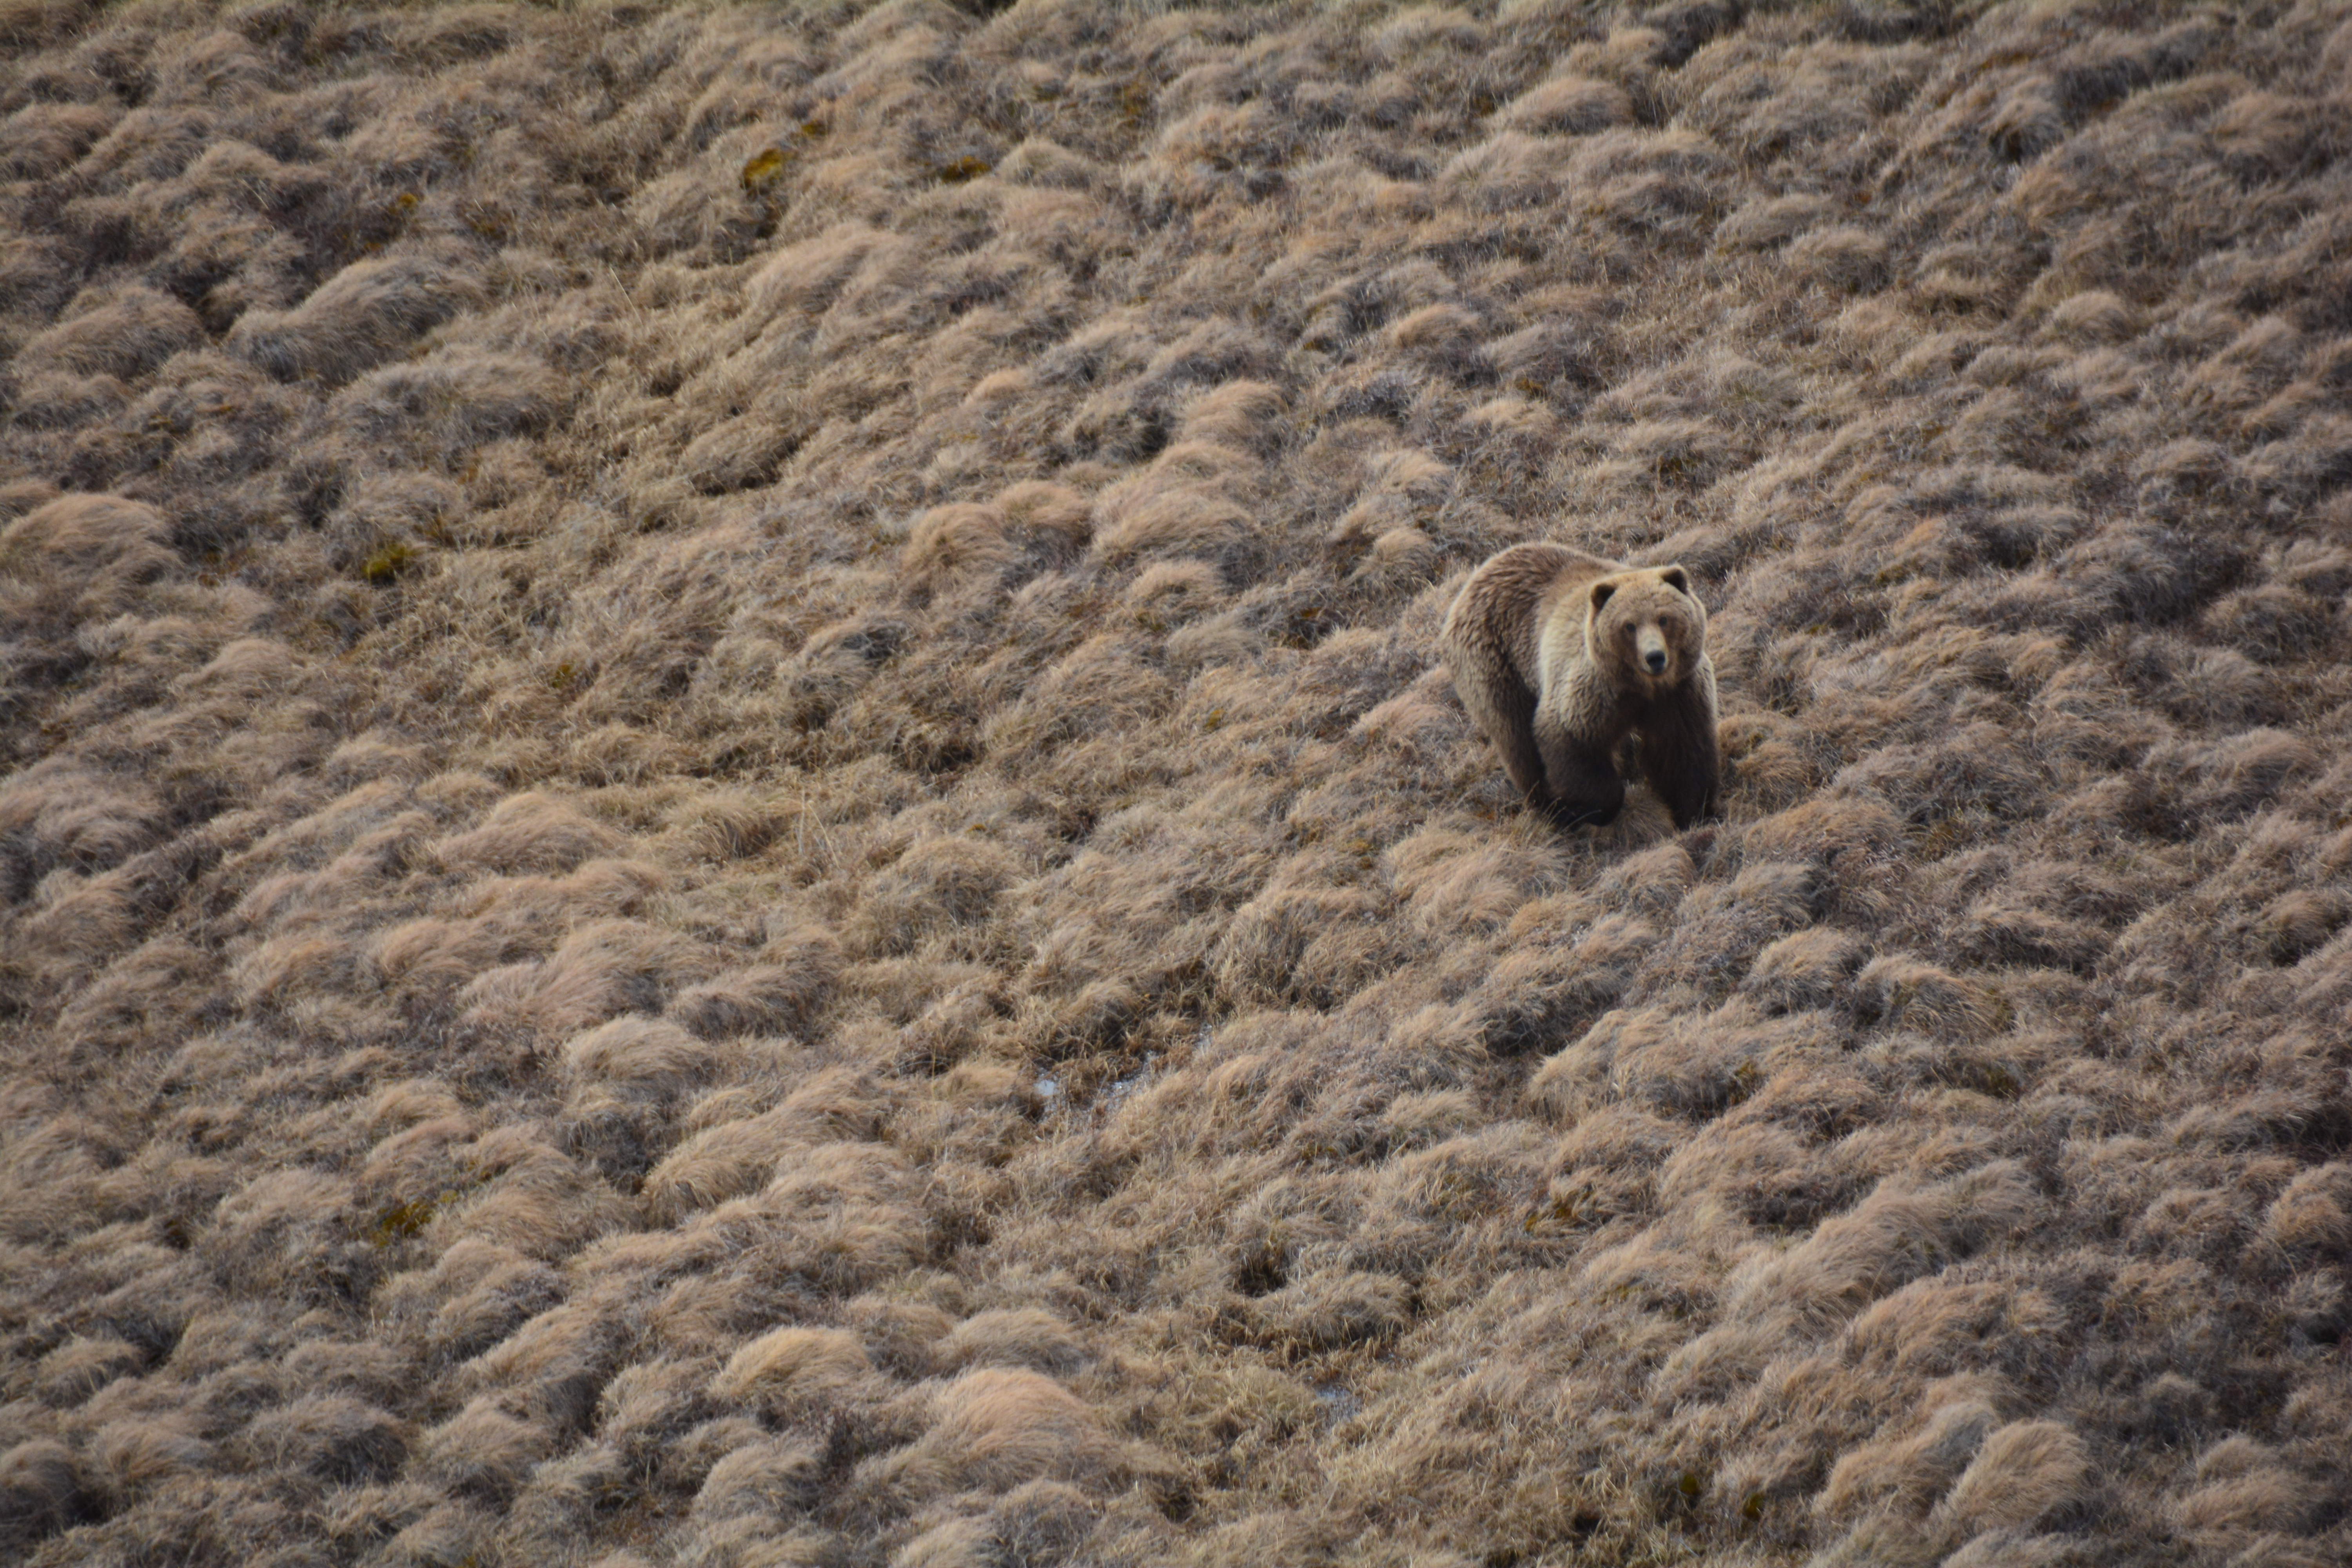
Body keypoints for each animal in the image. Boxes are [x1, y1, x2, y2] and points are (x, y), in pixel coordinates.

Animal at [1430, 543, 1731, 827]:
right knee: (1516, 736)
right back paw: (1548, 807)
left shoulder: (1679, 691)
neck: (1641, 687)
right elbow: (1571, 742)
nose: (1655, 657)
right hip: (1495, 662)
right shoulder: (1592, 692)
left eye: (1664, 618)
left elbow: (1683, 750)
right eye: (1629, 626)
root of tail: (1476, 577)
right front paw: (1585, 808)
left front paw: (1693, 811)